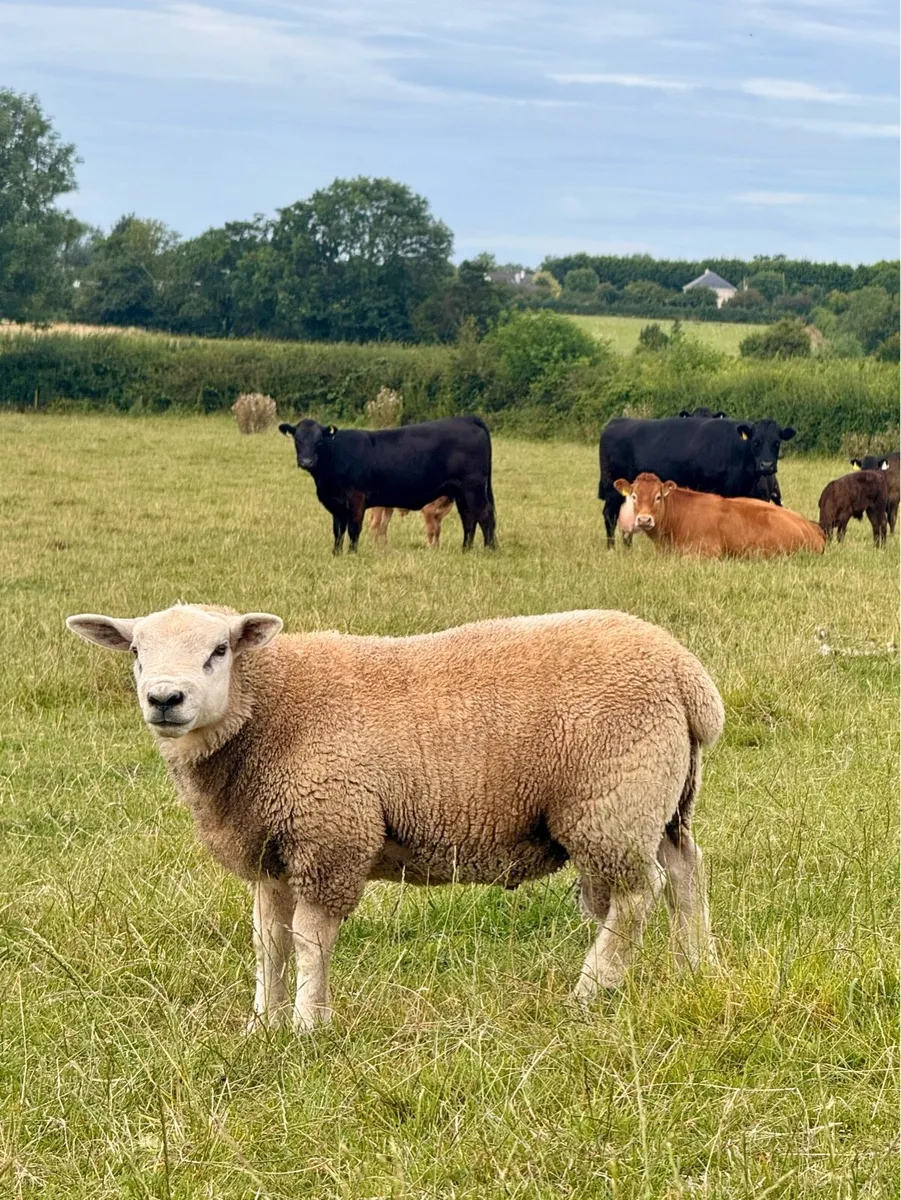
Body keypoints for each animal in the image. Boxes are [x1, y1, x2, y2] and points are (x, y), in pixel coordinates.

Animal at [66, 604, 724, 1032]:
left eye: (219, 651)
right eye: (135, 652)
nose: (165, 699)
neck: (269, 710)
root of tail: (687, 676)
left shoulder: (331, 836)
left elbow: (308, 938)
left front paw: (308, 1024)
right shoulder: (274, 852)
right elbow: (268, 940)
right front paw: (263, 1023)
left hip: (612, 802)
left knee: (638, 895)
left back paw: (591, 990)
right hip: (661, 800)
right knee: (684, 873)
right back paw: (698, 970)